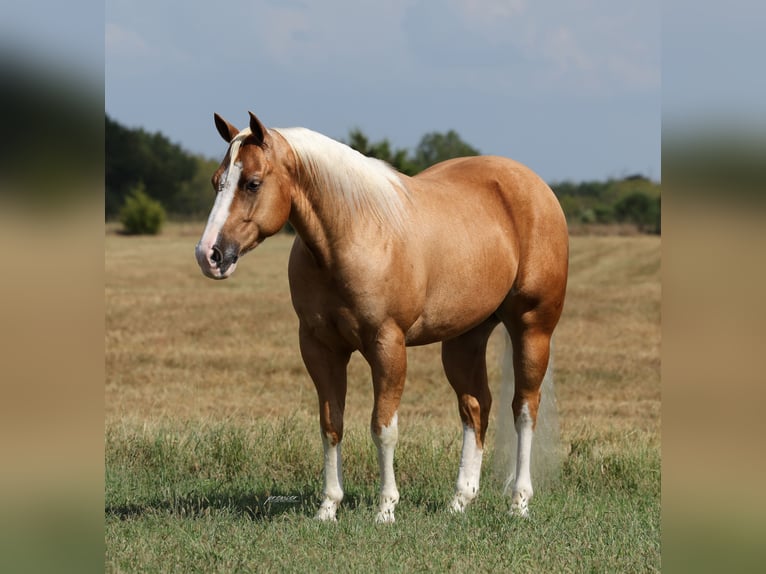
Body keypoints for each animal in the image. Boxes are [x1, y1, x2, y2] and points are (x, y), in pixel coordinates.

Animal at [195, 112, 568, 523]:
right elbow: (331, 424)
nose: (209, 254)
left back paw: (519, 501)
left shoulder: (387, 345)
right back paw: (460, 500)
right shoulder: (319, 348)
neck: (354, 234)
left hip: (532, 328)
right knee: (475, 407)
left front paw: (386, 508)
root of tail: (535, 186)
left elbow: (383, 427)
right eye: (217, 181)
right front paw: (328, 508)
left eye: (252, 182)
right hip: (464, 338)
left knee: (524, 410)